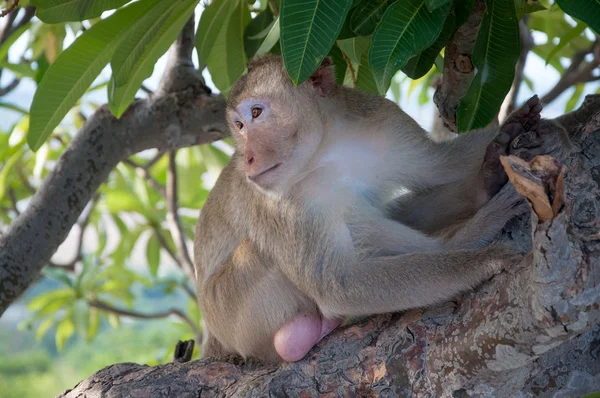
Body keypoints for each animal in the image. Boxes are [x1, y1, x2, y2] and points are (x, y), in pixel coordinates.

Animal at [193, 56, 548, 364]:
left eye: (256, 113)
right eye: (239, 125)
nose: (248, 158)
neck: (326, 148)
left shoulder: (383, 120)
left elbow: (444, 163)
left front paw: (529, 127)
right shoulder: (277, 203)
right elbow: (339, 284)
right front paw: (484, 260)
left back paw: (482, 189)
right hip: (236, 311)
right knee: (268, 248)